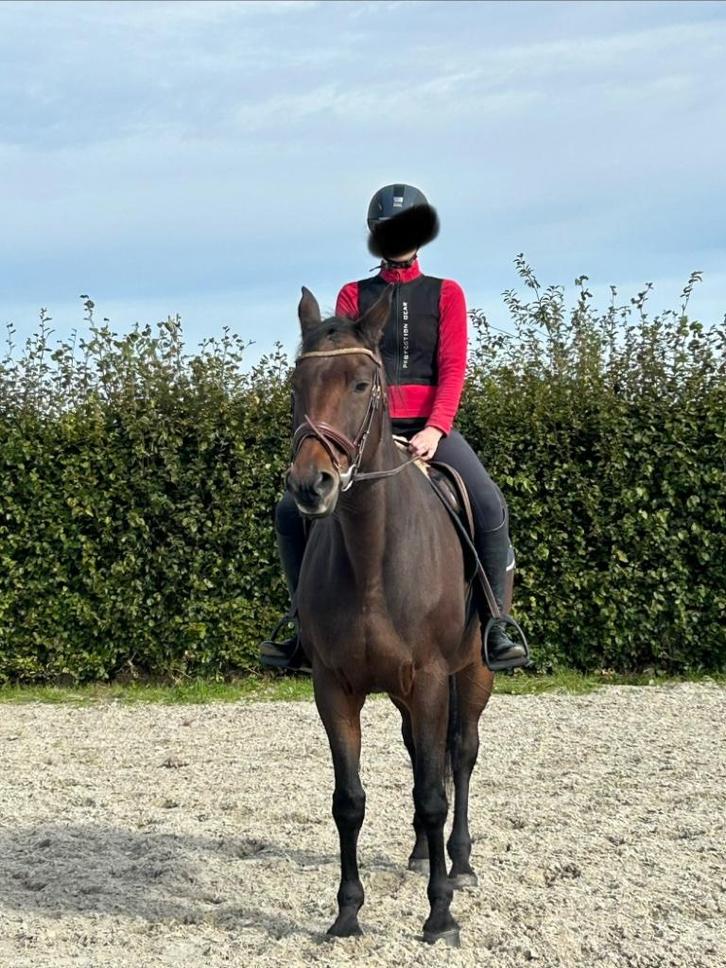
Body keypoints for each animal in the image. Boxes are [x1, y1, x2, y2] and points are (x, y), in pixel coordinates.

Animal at [286, 284, 495, 946]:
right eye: (296, 385)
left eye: (360, 383)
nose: (312, 486)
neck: (373, 554)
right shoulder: (334, 688)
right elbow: (348, 800)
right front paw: (347, 912)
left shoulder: (429, 679)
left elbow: (433, 793)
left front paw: (440, 915)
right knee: (416, 752)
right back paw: (424, 855)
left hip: (473, 673)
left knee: (461, 753)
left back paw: (459, 863)